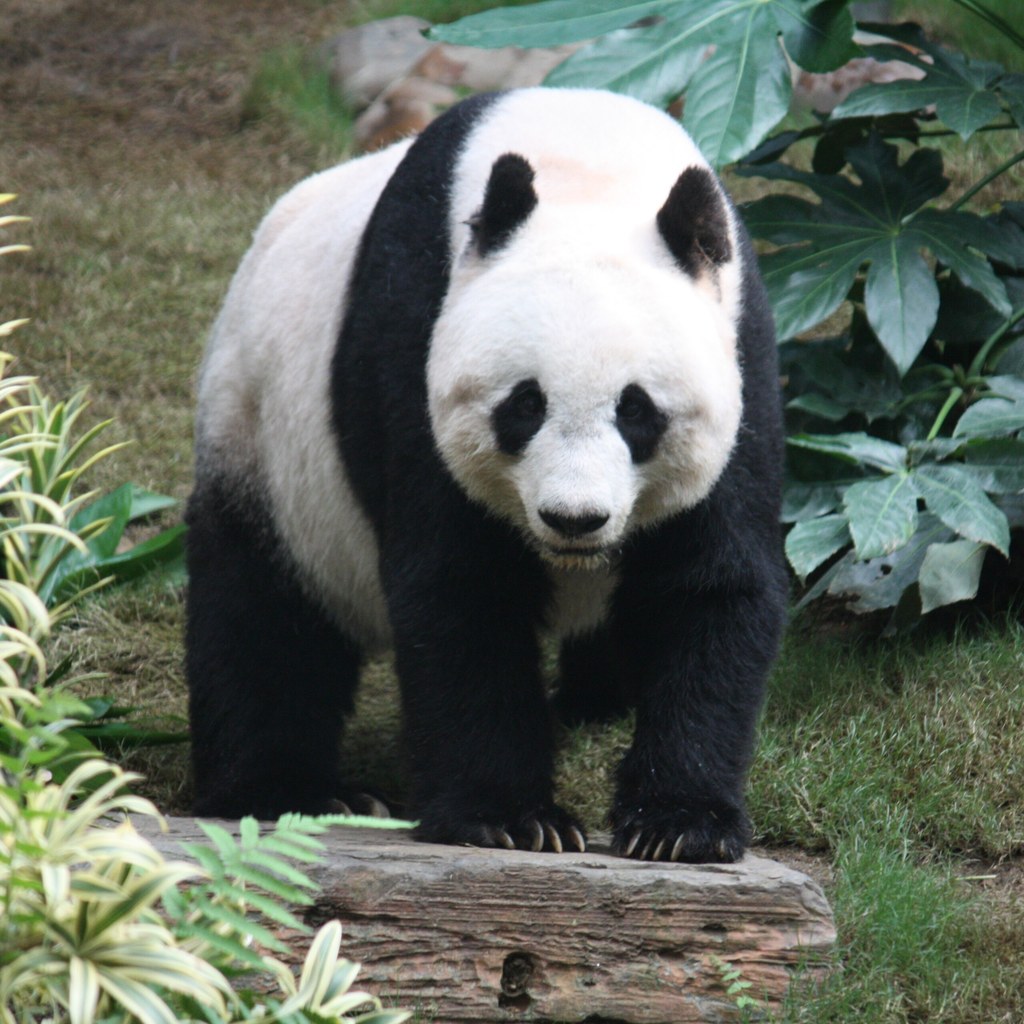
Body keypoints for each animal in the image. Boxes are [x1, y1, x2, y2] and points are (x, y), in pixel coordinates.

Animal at [186, 87, 787, 863]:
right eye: (525, 405)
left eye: (637, 411)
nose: (574, 519)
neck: (587, 163)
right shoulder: (412, 333)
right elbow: (462, 589)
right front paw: (512, 819)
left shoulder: (743, 354)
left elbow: (709, 585)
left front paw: (678, 824)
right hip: (263, 439)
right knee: (262, 616)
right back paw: (290, 790)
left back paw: (595, 702)